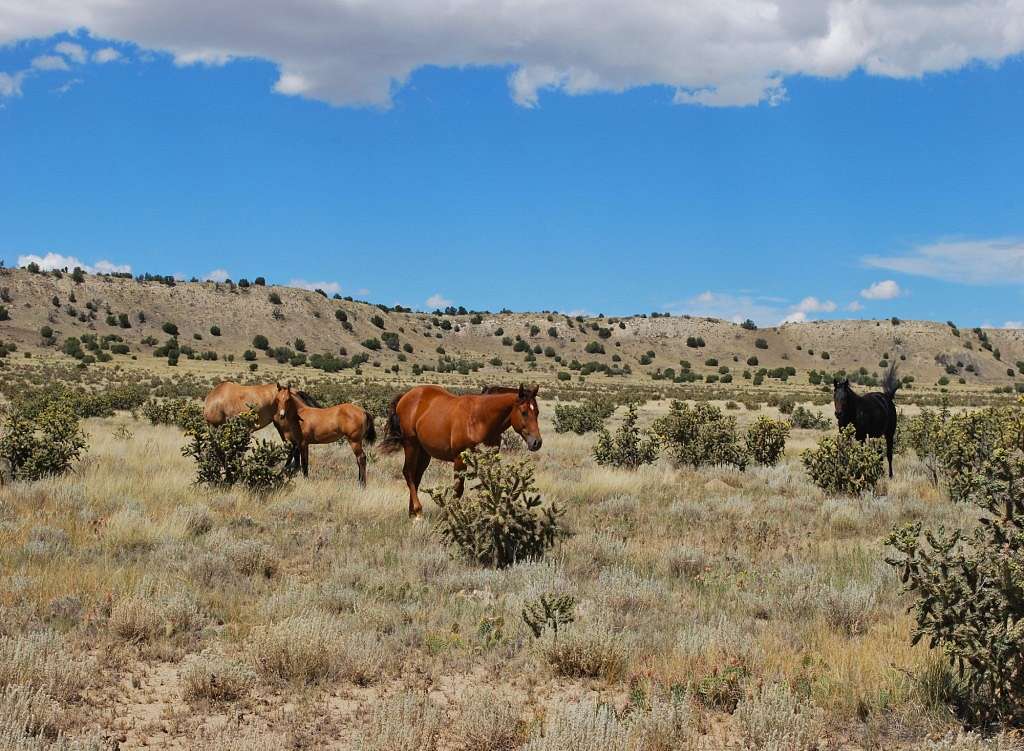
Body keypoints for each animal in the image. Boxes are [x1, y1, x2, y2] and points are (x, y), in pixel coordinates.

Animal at [380, 387, 544, 516]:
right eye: (524, 412)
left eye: (537, 412)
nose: (537, 442)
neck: (479, 419)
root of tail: (406, 396)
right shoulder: (459, 460)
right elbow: (458, 489)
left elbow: (489, 486)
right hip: (411, 445)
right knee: (408, 473)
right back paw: (418, 511)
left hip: (424, 452)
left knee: (416, 477)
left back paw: (411, 513)